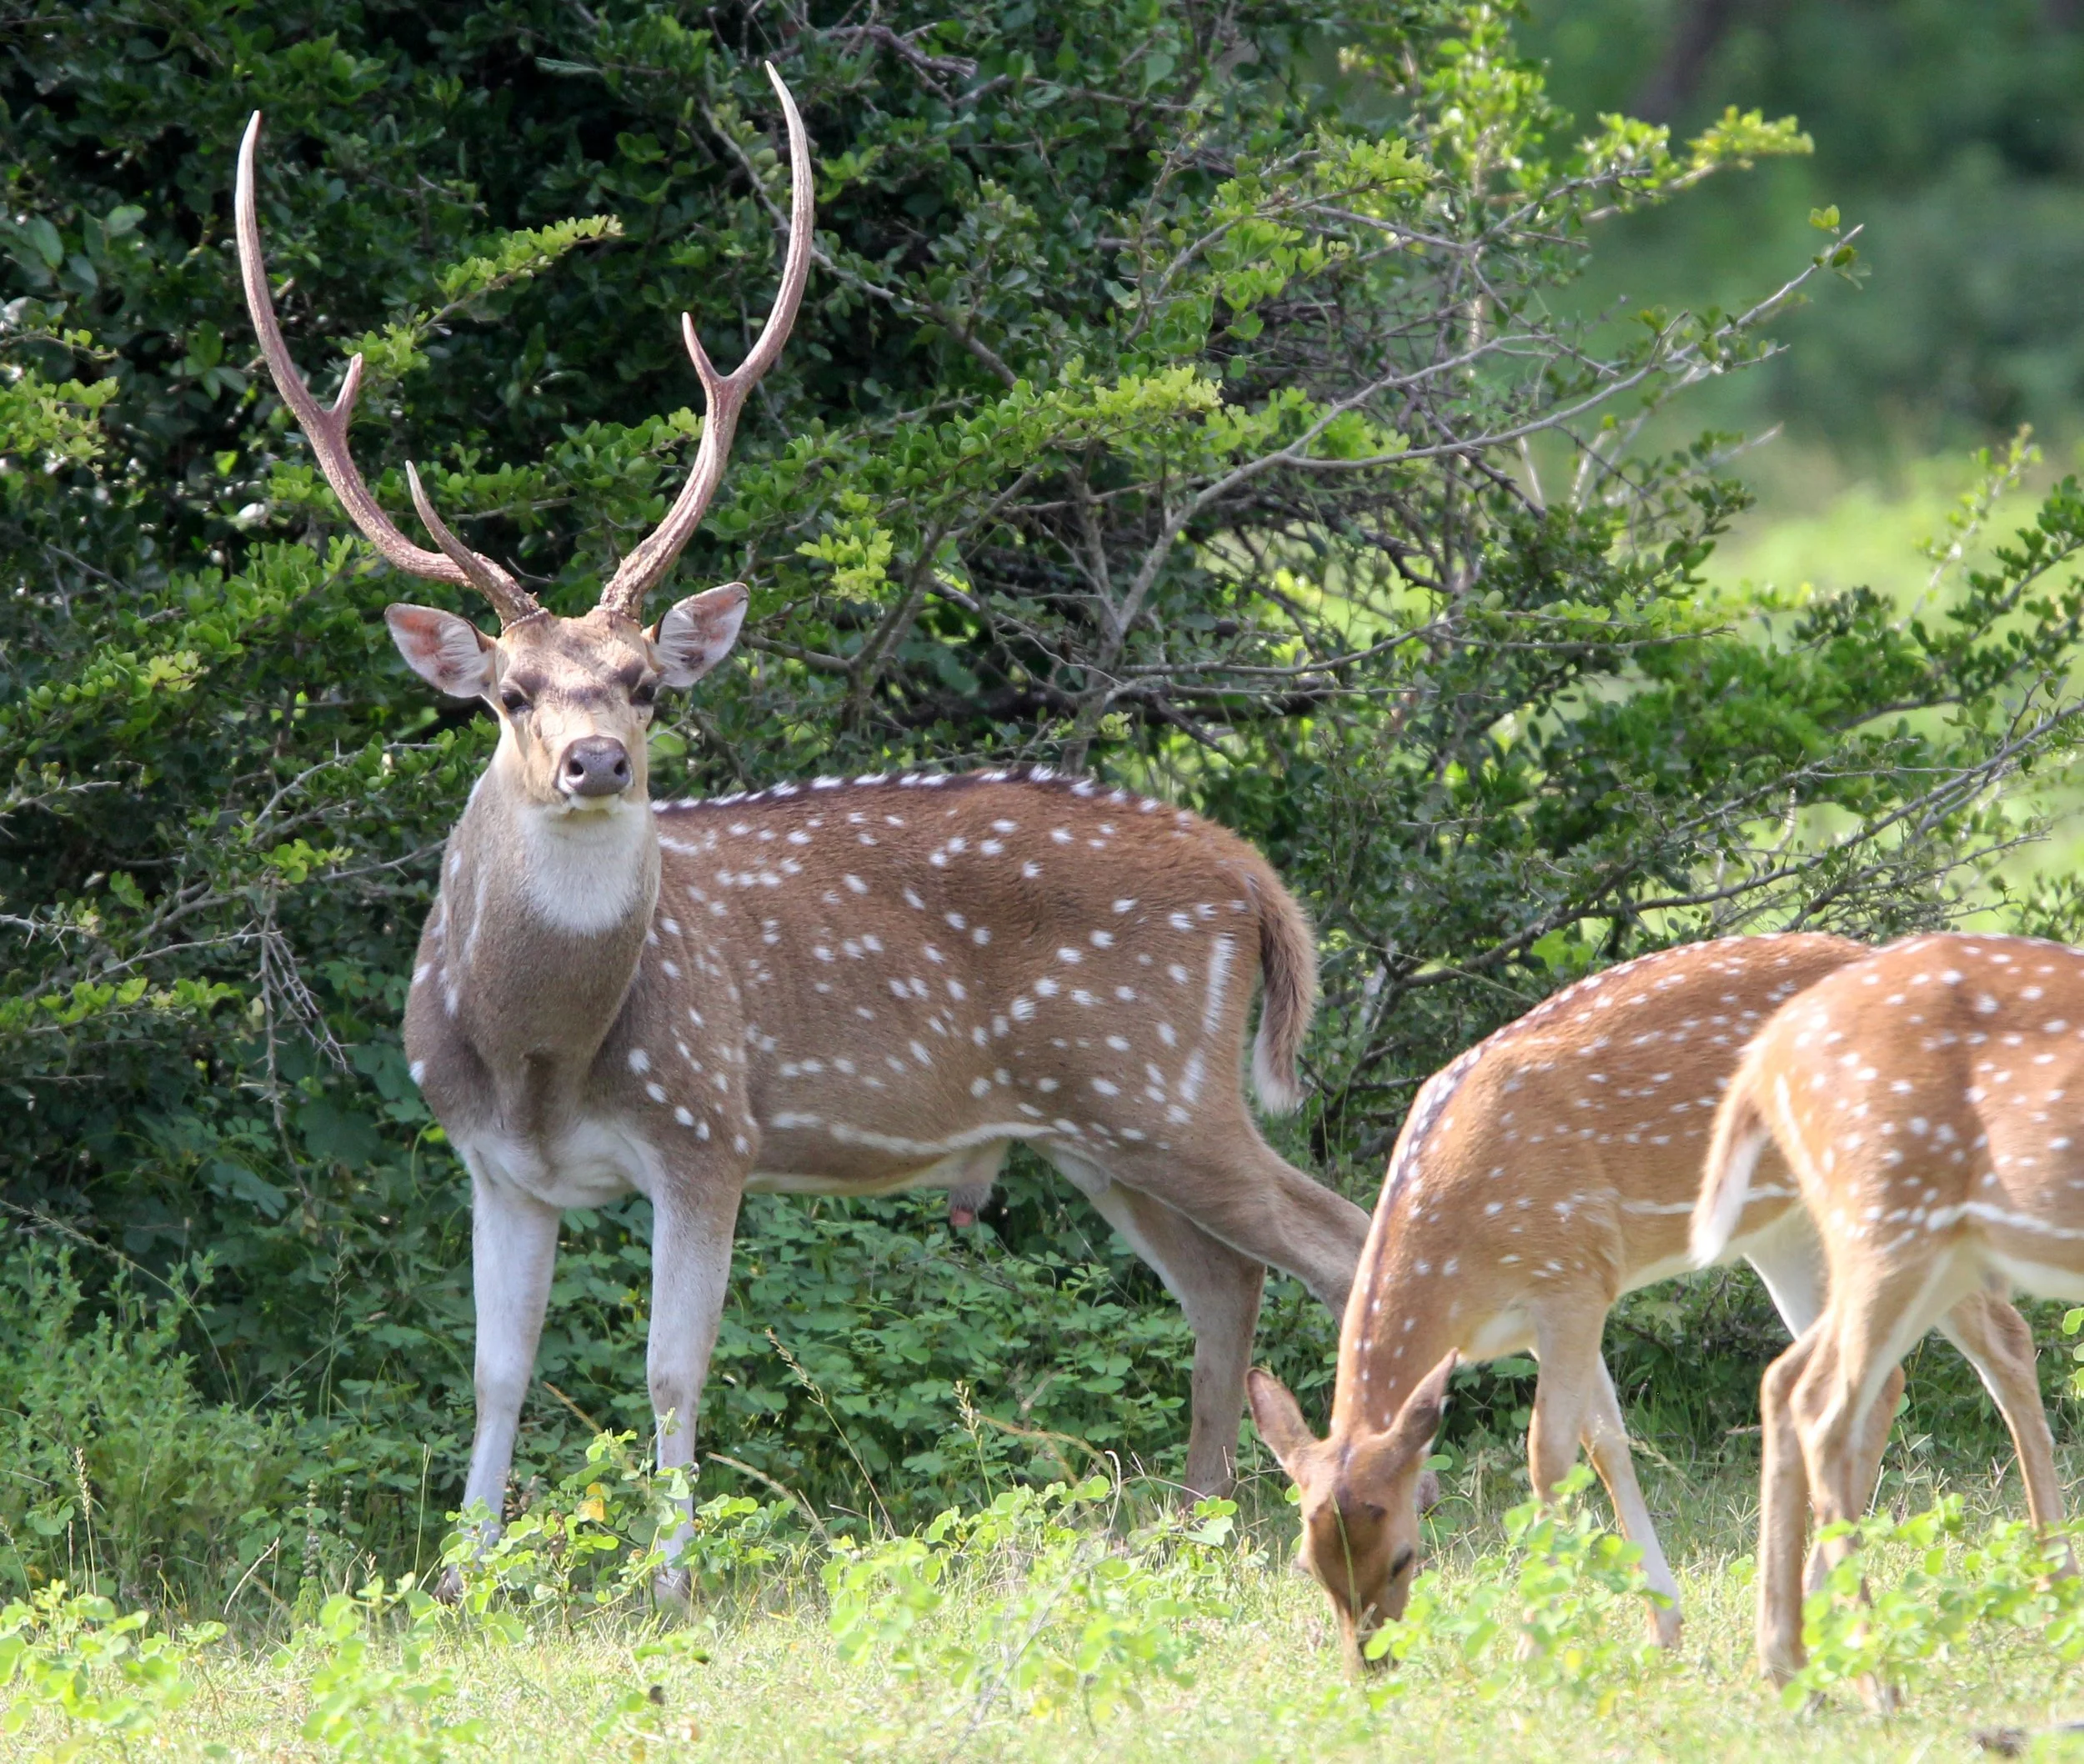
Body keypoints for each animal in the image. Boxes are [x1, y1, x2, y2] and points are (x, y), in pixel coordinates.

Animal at [233, 73, 1374, 1590]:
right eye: (511, 693)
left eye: (648, 683)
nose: (598, 758)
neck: (543, 1052)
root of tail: (1255, 879)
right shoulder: (489, 1163)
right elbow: (493, 1374)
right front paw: (463, 1579)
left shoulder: (706, 1129)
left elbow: (670, 1371)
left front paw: (668, 1582)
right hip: (1098, 1120)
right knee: (1229, 1277)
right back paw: (1195, 1524)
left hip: (1157, 1079)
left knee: (1340, 1236)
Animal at [1247, 933, 2053, 1669]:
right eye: (1308, 1565)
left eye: (1405, 1555)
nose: (1370, 1663)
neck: (1461, 1262)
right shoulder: (1556, 1312)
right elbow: (1609, 1443)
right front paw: (1663, 1624)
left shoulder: (1573, 1276)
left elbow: (1548, 1457)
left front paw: (1537, 1641)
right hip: (1786, 1230)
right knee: (1876, 1382)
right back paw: (1823, 1601)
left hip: (1906, 1201)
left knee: (2006, 1340)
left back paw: (2046, 1575)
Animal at [1692, 931, 2080, 1695]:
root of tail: (1764, 1057)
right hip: (1891, 1216)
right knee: (1821, 1401)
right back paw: (1873, 1678)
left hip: (1921, 1245)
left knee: (1793, 1380)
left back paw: (1792, 1667)